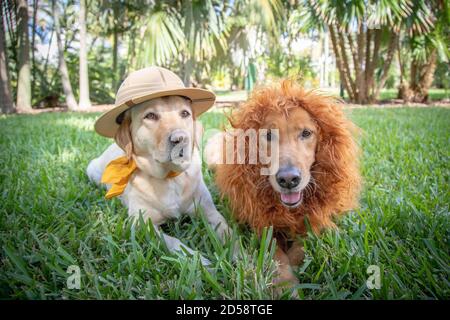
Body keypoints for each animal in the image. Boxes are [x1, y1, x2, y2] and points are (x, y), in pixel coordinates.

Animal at [86, 95, 230, 264]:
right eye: (150, 116)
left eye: (185, 113)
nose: (180, 139)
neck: (170, 178)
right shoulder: (143, 224)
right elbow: (174, 242)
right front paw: (198, 260)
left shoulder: (209, 210)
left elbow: (227, 230)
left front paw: (241, 256)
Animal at [206, 80, 360, 288]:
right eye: (269, 135)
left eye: (306, 133)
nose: (288, 179)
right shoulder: (263, 224)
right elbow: (276, 253)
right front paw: (285, 284)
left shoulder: (315, 218)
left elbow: (303, 244)